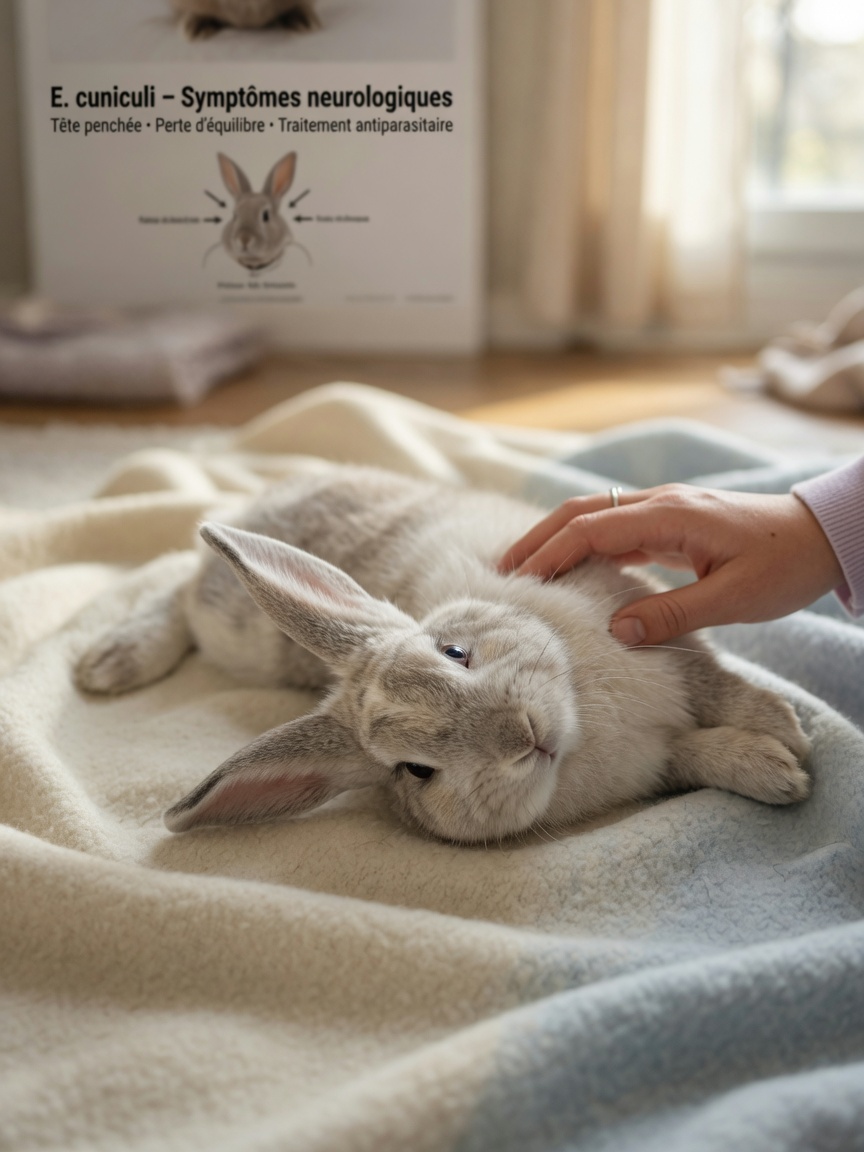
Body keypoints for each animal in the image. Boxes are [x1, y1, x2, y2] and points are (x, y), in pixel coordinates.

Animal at [76, 465, 811, 846]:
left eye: (455, 652)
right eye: (416, 771)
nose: (522, 737)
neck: (585, 726)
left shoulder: (642, 617)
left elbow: (714, 683)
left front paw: (785, 732)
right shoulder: (655, 758)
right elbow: (692, 751)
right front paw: (780, 772)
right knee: (177, 589)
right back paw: (112, 660)